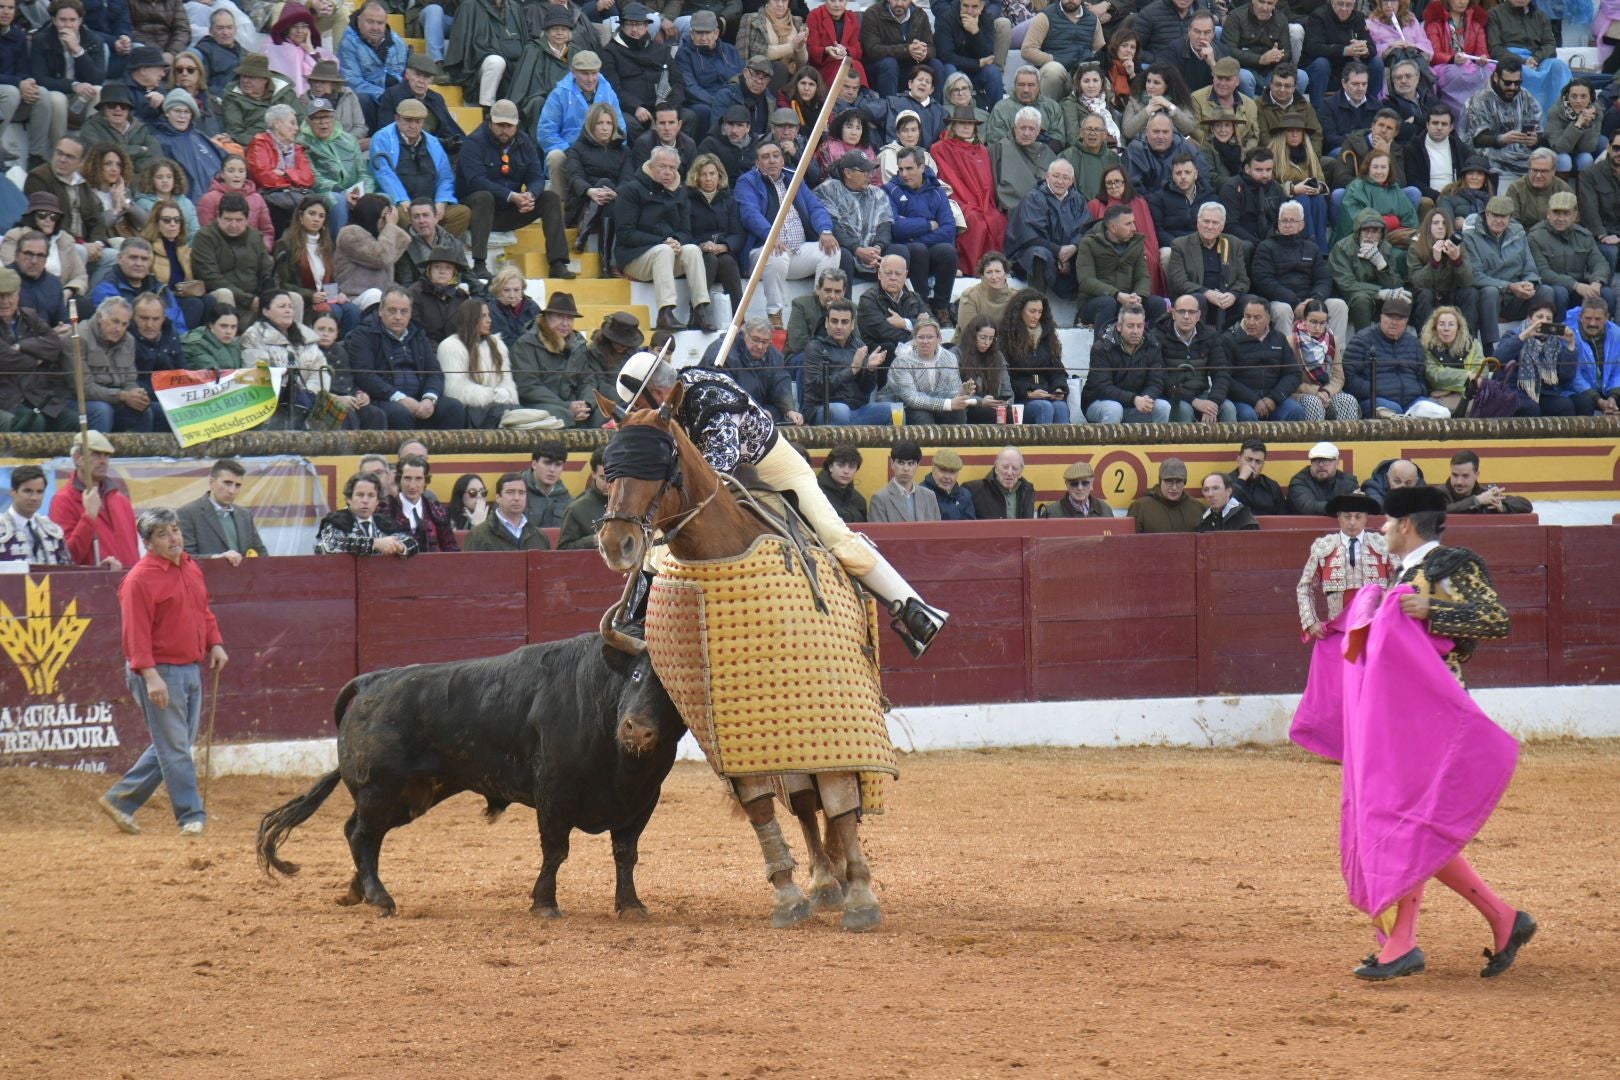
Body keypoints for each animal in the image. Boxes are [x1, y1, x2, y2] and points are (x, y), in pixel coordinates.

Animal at [257, 634, 683, 919]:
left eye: (673, 690)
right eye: (635, 676)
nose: (637, 730)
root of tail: (369, 682)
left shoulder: (642, 800)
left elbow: (626, 853)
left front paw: (631, 905)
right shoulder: (553, 795)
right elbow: (555, 851)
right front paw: (544, 904)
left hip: (407, 797)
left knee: (360, 832)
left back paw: (356, 891)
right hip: (380, 788)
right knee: (362, 834)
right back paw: (381, 898)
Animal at [592, 390, 881, 939]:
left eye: (661, 461)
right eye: (608, 467)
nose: (617, 545)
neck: (720, 545)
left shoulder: (831, 709)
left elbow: (839, 795)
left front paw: (860, 896)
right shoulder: (733, 730)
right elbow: (761, 804)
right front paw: (789, 894)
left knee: (834, 798)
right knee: (803, 800)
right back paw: (822, 879)